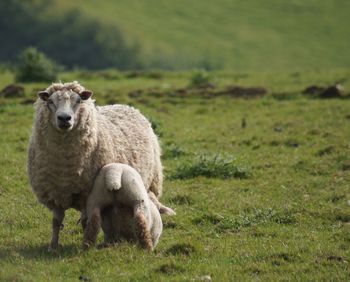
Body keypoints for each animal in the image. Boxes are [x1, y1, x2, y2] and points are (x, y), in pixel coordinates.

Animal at [27, 80, 174, 250]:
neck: (65, 166)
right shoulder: (55, 192)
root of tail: (126, 106)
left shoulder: (87, 195)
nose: (64, 118)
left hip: (153, 179)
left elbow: (85, 222)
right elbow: (56, 222)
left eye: (78, 101)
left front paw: (84, 242)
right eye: (50, 101)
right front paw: (53, 246)